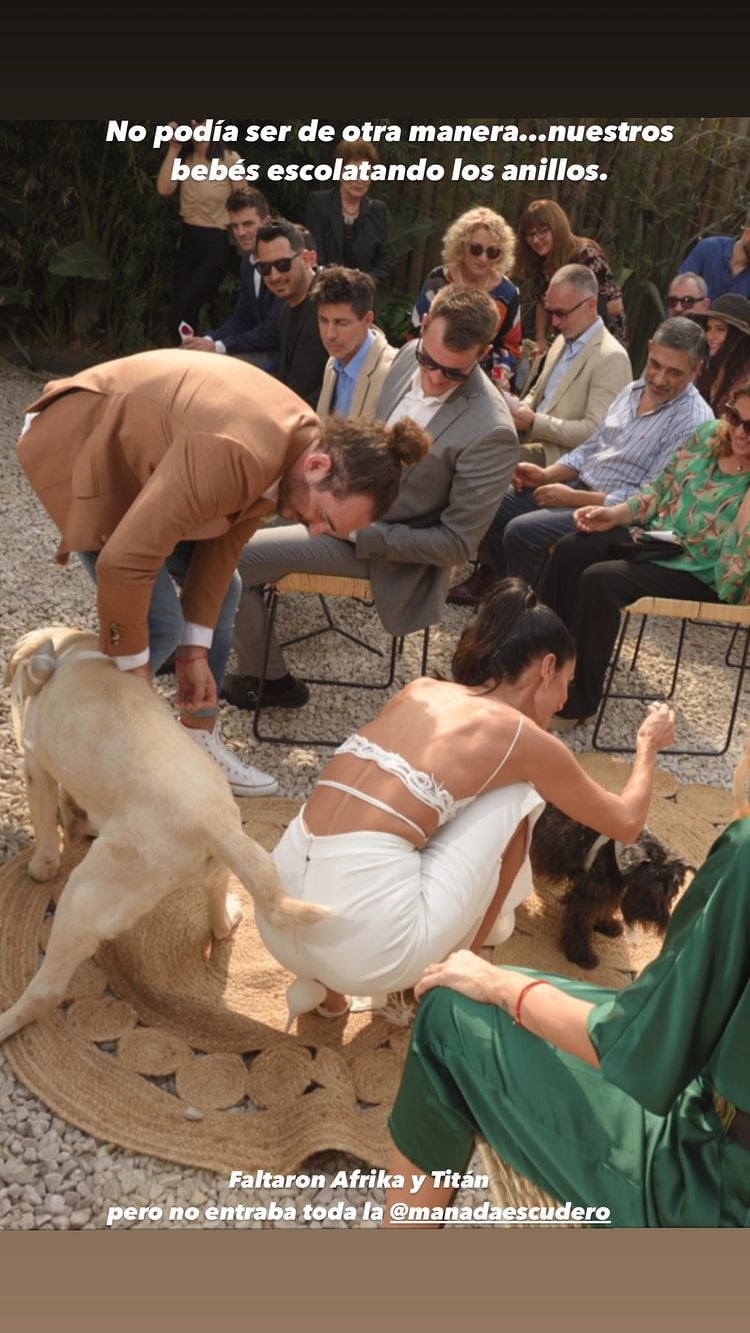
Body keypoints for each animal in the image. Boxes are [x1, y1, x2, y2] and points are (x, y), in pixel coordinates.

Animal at [0, 629, 329, 1045]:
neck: (73, 651)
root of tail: (213, 822)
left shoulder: (37, 770)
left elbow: (45, 835)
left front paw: (40, 867)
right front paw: (76, 822)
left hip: (85, 896)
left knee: (46, 990)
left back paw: (5, 1022)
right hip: (219, 869)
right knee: (220, 924)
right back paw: (231, 913)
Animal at [527, 799, 692, 970]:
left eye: (672, 894)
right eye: (652, 889)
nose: (657, 918)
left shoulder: (610, 890)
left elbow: (607, 908)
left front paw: (606, 925)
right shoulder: (588, 895)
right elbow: (580, 923)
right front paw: (581, 954)